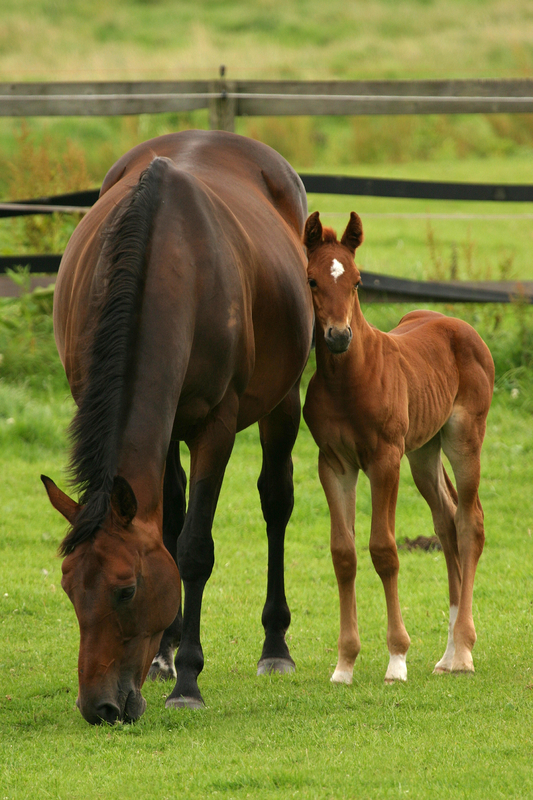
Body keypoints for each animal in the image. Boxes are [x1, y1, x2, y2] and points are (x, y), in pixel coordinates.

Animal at [44, 131, 316, 724]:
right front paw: (168, 658)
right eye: (69, 590)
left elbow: (193, 548)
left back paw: (274, 647)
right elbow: (168, 528)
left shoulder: (216, 426)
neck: (169, 258)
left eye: (126, 590)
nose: (99, 707)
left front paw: (189, 678)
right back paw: (164, 656)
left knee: (276, 502)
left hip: (282, 403)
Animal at [302, 212, 492, 688]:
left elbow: (384, 551)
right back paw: (446, 655)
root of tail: (457, 324)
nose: (338, 336)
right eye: (312, 280)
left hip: (463, 439)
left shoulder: (384, 460)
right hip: (423, 451)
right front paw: (344, 664)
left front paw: (396, 658)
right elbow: (344, 553)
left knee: (470, 522)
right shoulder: (334, 464)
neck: (349, 380)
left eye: (357, 280)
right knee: (446, 522)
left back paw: (464, 651)